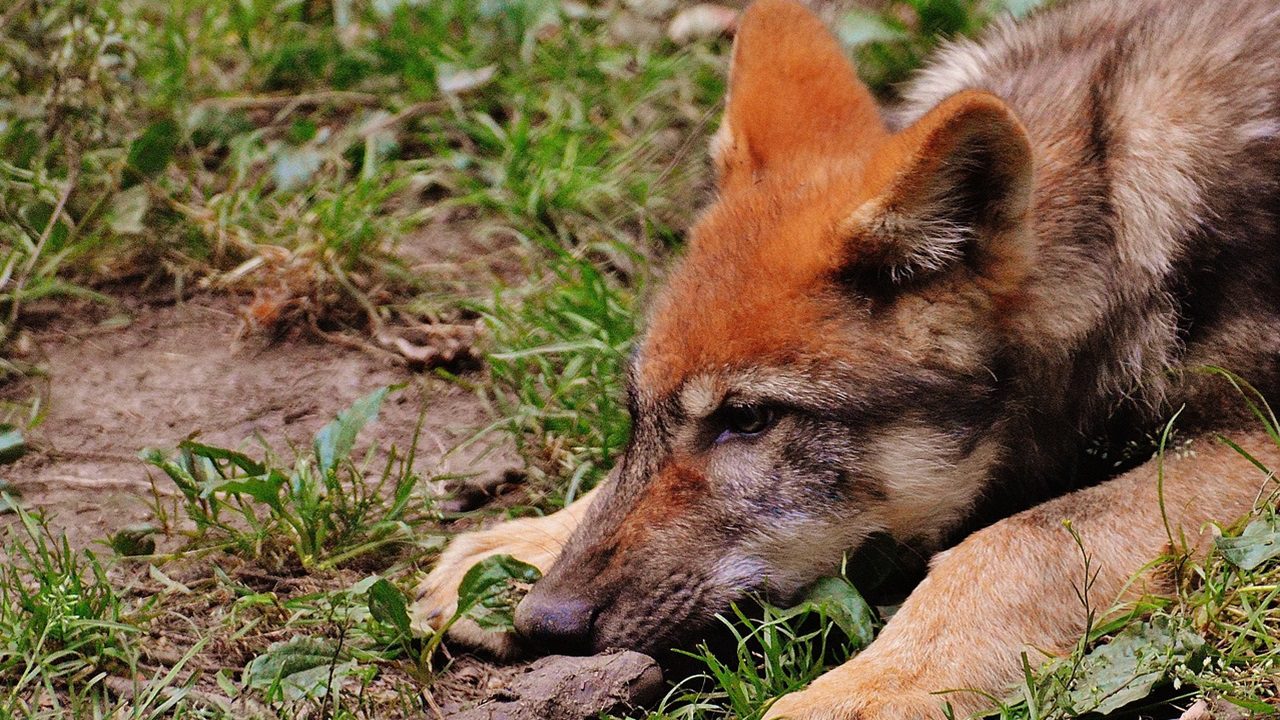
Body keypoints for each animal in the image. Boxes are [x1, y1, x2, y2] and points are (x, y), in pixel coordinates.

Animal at [412, 0, 1280, 712]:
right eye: (638, 413)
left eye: (748, 418)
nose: (546, 619)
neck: (1118, 216)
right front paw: (518, 545)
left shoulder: (1256, 437)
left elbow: (1010, 544)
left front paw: (873, 686)